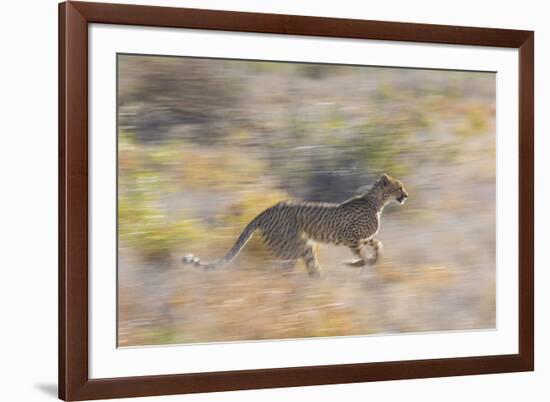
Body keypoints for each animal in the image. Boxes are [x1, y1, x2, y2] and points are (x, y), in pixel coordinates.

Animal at [183, 173, 408, 276]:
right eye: (399, 187)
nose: (406, 195)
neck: (377, 202)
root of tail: (267, 210)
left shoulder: (364, 237)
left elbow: (378, 246)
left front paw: (372, 260)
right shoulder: (350, 237)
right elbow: (362, 255)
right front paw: (356, 263)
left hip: (302, 246)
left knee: (306, 268)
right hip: (290, 247)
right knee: (279, 268)